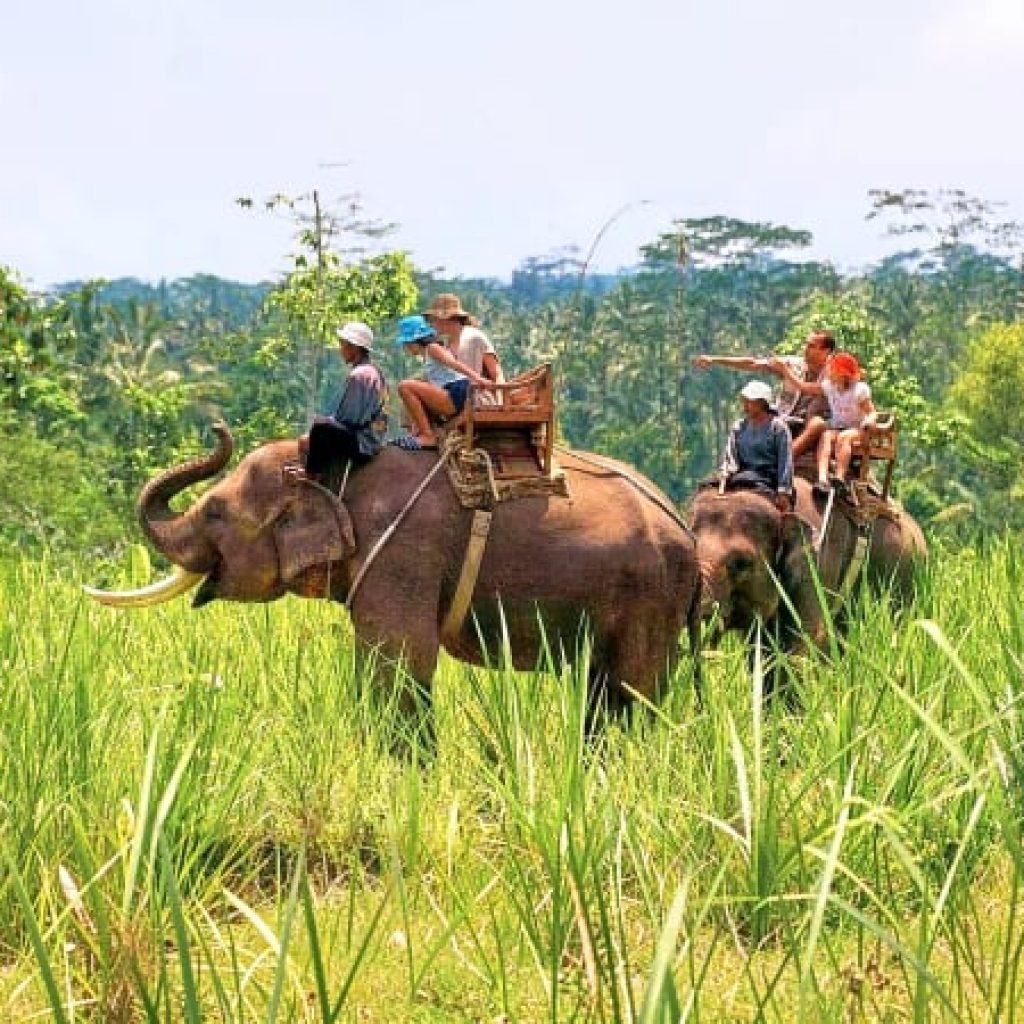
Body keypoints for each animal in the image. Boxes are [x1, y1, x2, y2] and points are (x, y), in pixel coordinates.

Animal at [87, 424, 702, 729]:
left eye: (214, 512)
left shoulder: (402, 552)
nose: (218, 426)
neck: (334, 470)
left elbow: (401, 659)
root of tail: (685, 532)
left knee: (629, 693)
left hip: (649, 596)